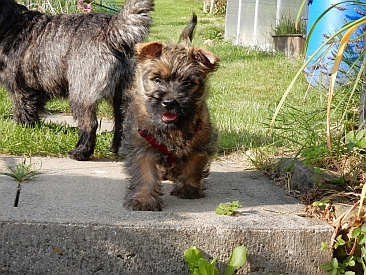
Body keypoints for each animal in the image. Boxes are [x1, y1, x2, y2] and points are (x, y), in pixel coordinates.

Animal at [0, 0, 153, 162]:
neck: (11, 23)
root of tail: (114, 31)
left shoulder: (20, 89)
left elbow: (22, 110)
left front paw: (22, 130)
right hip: (122, 94)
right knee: (122, 121)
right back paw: (117, 148)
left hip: (81, 91)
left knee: (89, 123)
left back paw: (81, 152)